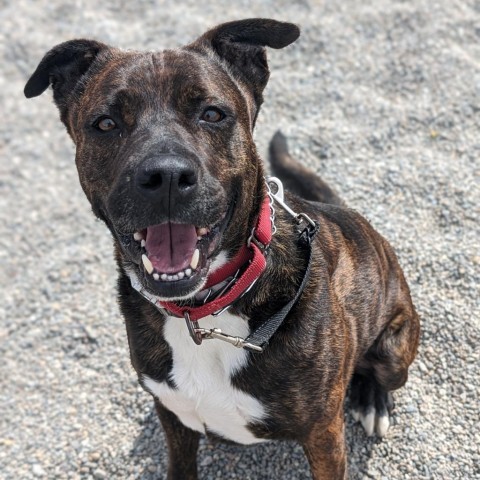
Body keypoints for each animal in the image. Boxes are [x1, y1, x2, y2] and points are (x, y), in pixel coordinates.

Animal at [24, 18, 418, 480]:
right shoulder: (172, 415)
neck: (204, 312)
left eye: (212, 113)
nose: (166, 177)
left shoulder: (324, 434)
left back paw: (371, 398)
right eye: (105, 123)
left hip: (394, 350)